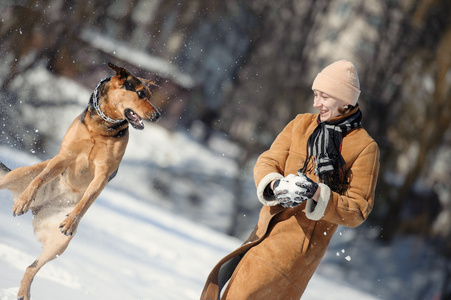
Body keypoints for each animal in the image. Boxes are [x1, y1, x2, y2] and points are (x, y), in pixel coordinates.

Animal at [0, 61, 161, 300]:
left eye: (149, 95)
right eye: (141, 93)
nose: (158, 115)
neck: (101, 126)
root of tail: (41, 208)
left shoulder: (102, 175)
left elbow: (85, 201)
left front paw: (71, 221)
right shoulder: (64, 157)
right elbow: (39, 179)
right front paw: (24, 200)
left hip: (59, 244)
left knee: (31, 267)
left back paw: (23, 293)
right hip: (17, 174)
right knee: (30, 176)